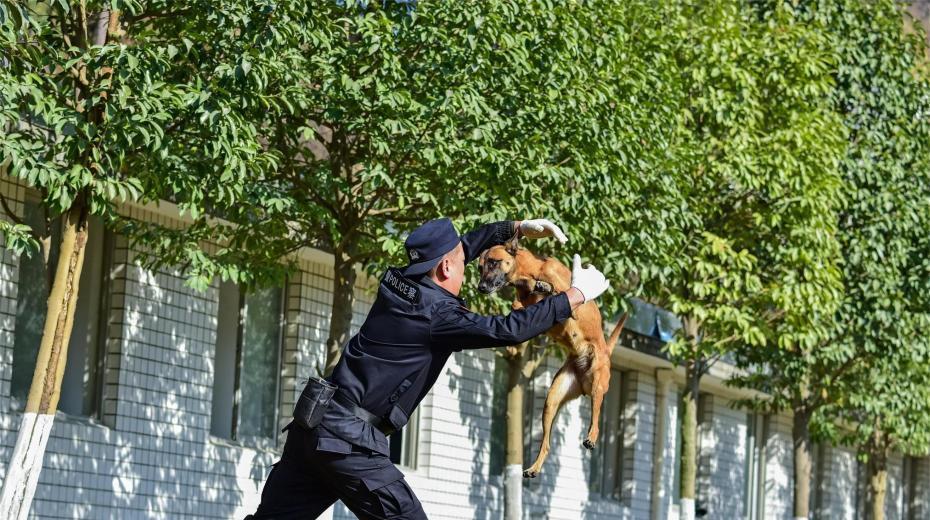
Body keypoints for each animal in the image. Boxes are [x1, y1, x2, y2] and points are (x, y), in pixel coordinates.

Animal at [478, 236, 624, 480]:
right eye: (480, 267)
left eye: (493, 262)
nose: (480, 287)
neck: (530, 273)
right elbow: (520, 304)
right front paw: (535, 292)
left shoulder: (570, 301)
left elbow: (558, 292)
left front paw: (545, 287)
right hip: (551, 401)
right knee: (545, 443)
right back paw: (534, 467)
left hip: (598, 383)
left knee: (596, 418)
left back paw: (592, 437)